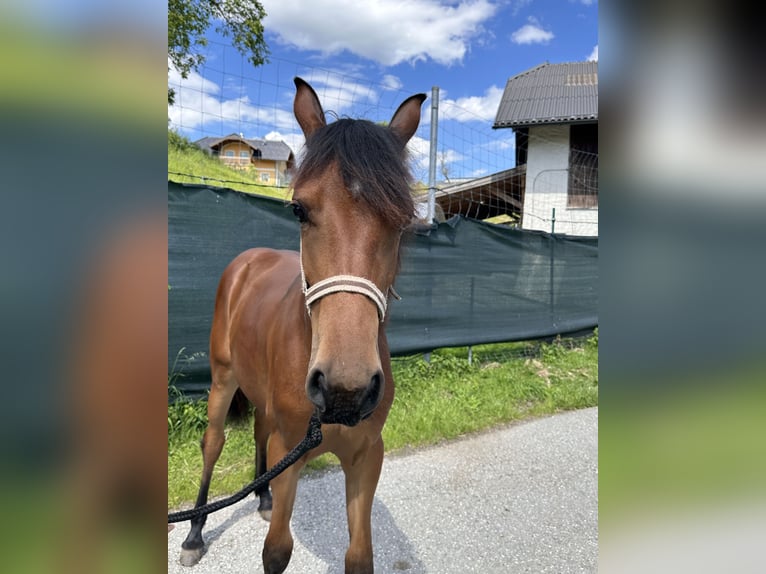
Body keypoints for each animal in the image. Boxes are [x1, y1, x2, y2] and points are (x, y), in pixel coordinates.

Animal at [181, 77, 428, 574]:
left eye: (403, 218)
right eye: (298, 209)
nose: (346, 388)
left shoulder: (366, 457)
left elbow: (360, 556)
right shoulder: (289, 454)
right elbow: (276, 551)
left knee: (258, 427)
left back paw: (261, 497)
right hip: (222, 380)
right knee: (213, 442)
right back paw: (194, 533)